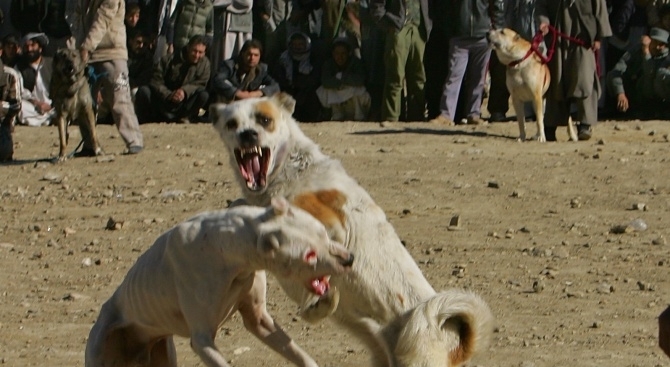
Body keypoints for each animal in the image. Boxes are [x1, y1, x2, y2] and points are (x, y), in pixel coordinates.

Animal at [86, 198, 354, 367]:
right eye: (310, 255)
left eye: (323, 232)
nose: (349, 259)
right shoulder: (202, 340)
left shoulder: (259, 320)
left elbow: (302, 356)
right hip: (101, 348)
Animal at [213, 93, 496, 366]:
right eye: (232, 124)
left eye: (265, 120)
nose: (248, 135)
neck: (292, 171)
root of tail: (454, 340)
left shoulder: (335, 226)